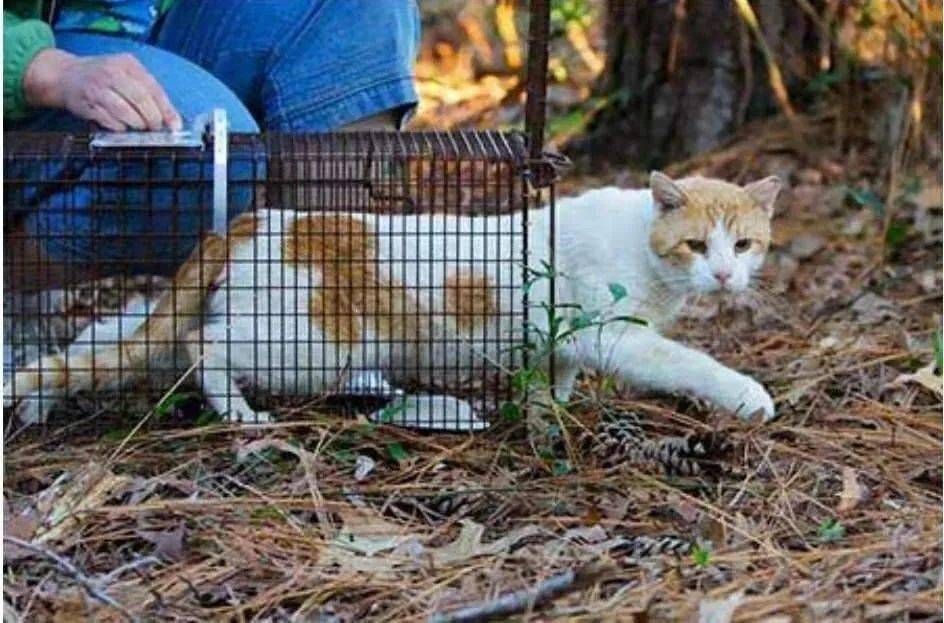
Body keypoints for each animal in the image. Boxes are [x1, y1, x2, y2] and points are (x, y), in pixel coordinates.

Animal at [3, 173, 780, 432]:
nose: (724, 277)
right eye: (696, 245)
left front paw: (546, 413)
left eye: (744, 245)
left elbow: (551, 379)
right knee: (205, 345)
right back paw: (241, 415)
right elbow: (690, 363)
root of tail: (251, 219)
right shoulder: (614, 334)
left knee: (109, 341)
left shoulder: (560, 341)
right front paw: (749, 396)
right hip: (312, 345)